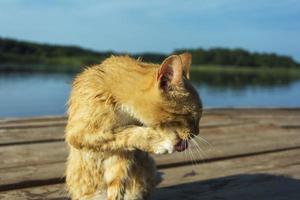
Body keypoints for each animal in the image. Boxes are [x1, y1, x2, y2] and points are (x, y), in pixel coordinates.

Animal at [65, 53, 202, 200]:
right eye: (192, 117)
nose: (197, 132)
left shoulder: (121, 155)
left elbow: (117, 181)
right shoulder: (79, 133)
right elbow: (123, 133)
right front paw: (158, 141)